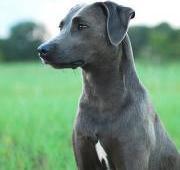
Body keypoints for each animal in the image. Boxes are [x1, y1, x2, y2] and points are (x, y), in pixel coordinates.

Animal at [37, 1, 179, 170]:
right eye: (61, 26)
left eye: (82, 25)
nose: (41, 50)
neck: (100, 98)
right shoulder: (84, 155)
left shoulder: (131, 157)